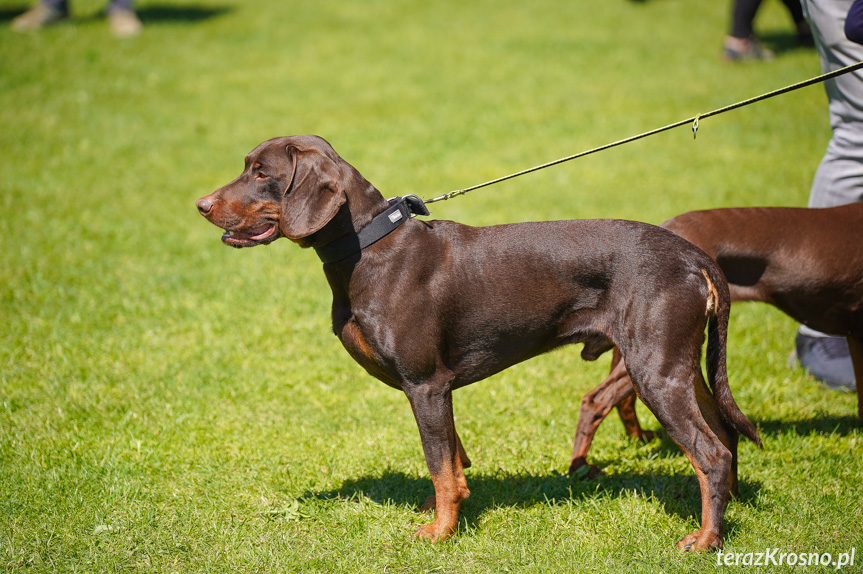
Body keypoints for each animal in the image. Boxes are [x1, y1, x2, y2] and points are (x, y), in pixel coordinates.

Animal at [197, 136, 764, 552]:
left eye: (262, 172)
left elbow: (438, 465)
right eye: (247, 166)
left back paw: (705, 540)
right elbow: (452, 461)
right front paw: (445, 513)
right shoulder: (435, 389)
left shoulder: (425, 384)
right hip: (684, 368)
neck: (370, 249)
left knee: (711, 452)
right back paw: (730, 513)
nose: (200, 205)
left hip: (655, 371)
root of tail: (694, 257)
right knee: (725, 435)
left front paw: (439, 533)